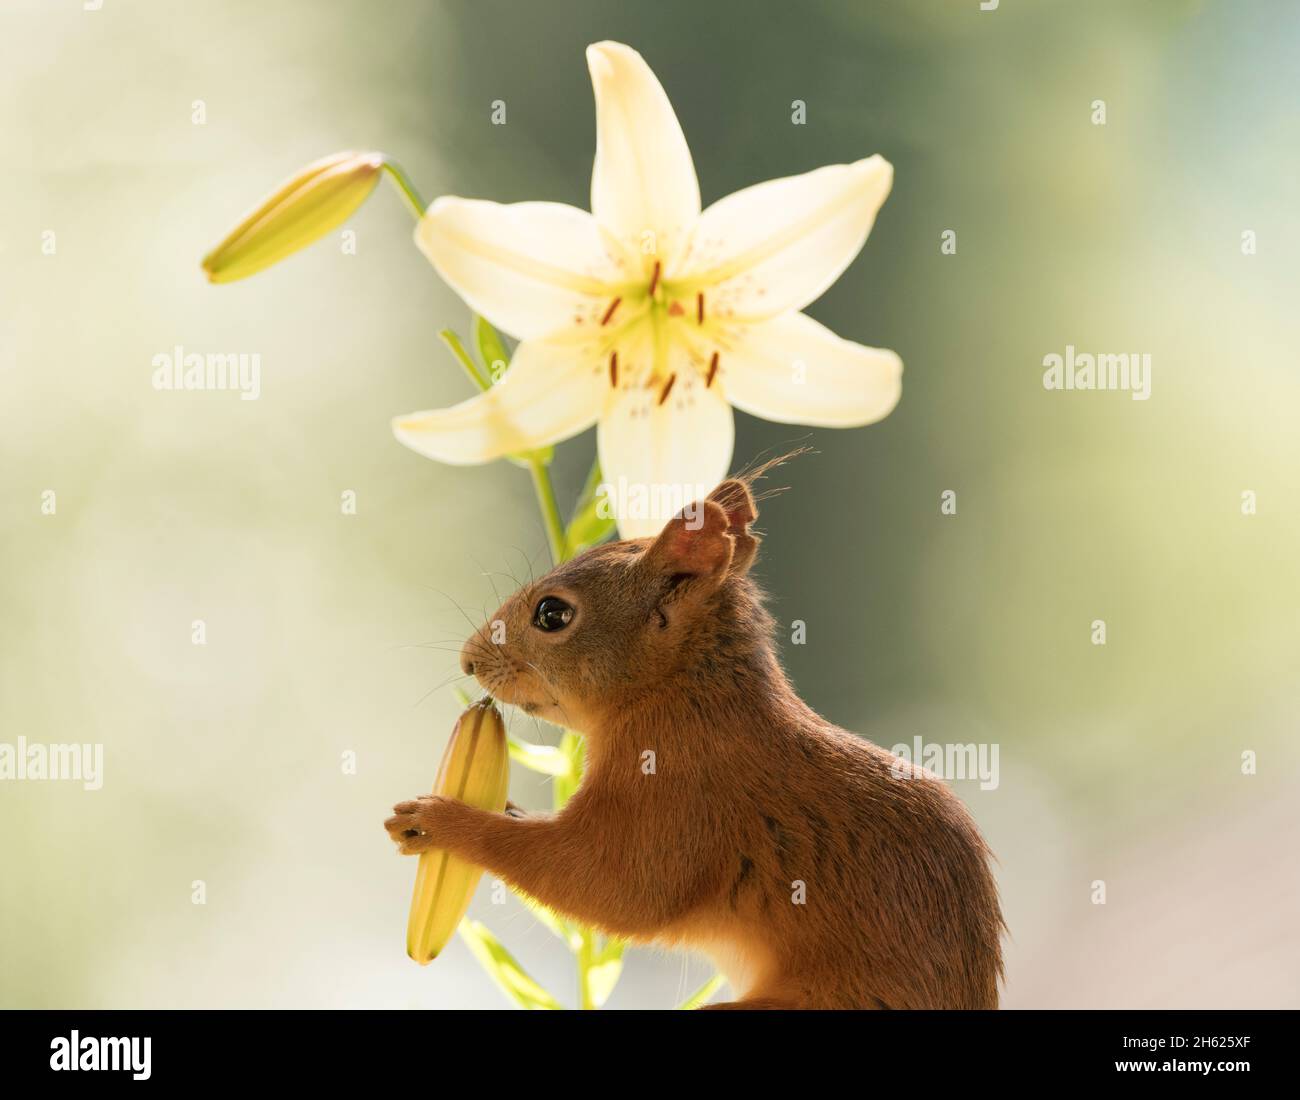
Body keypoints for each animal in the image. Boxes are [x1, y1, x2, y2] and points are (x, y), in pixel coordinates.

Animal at [385, 471, 1005, 1009]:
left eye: (552, 613)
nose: (468, 662)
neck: (677, 692)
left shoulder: (678, 795)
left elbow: (612, 885)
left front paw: (444, 822)